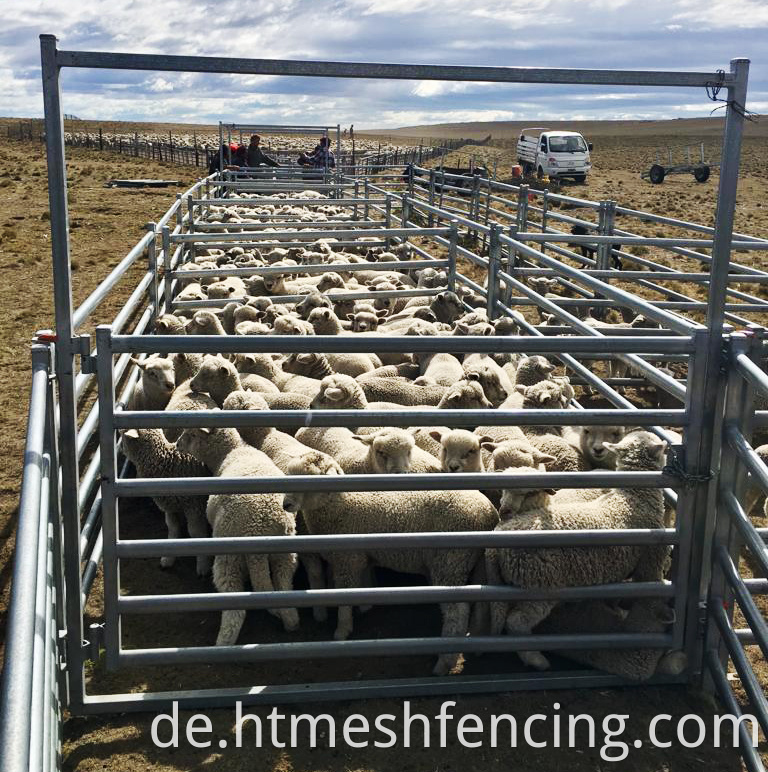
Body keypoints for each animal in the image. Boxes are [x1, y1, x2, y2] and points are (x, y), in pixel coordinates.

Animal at [118, 428, 208, 572]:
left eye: (122, 434)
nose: (120, 448)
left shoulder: (195, 506)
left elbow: (196, 533)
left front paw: (203, 565)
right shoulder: (169, 506)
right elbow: (173, 528)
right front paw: (168, 559)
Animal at [177, 426, 300, 644]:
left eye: (191, 434)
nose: (176, 444)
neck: (232, 451)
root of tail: (259, 532)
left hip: (229, 558)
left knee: (236, 610)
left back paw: (222, 643)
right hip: (285, 555)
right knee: (283, 584)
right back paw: (290, 621)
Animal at [282, 450, 498, 672]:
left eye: (310, 478)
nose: (285, 505)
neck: (340, 505)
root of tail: (488, 512)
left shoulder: (347, 561)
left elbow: (345, 596)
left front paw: (342, 630)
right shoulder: (361, 557)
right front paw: (364, 608)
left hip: (450, 561)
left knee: (458, 611)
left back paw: (444, 661)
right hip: (474, 562)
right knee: (482, 603)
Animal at [488, 432, 668, 672]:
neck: (634, 497)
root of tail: (499, 537)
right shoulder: (651, 561)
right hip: (540, 584)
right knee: (517, 622)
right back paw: (536, 659)